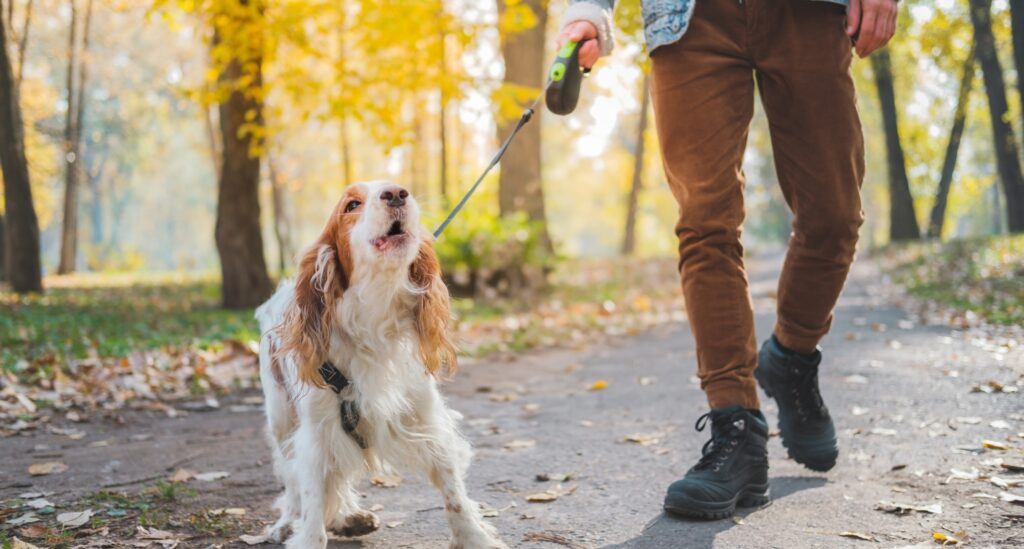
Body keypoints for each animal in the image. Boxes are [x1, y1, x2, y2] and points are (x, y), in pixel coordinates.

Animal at [253, 181, 505, 549]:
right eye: (351, 205)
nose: (397, 194)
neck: (374, 316)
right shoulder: (316, 434)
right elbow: (312, 502)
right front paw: (307, 535)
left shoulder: (426, 418)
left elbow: (453, 491)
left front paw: (474, 538)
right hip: (281, 420)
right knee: (292, 481)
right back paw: (288, 523)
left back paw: (348, 518)